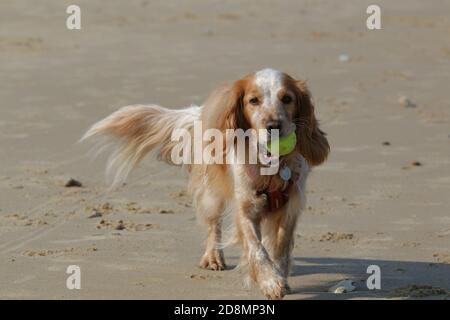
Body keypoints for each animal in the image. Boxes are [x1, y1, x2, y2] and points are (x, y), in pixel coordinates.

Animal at [82, 68, 328, 300]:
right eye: (253, 100)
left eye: (287, 98)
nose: (274, 125)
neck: (270, 168)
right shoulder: (246, 208)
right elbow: (256, 249)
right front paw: (269, 281)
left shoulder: (290, 208)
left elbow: (280, 248)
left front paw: (279, 276)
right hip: (212, 194)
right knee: (213, 225)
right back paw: (213, 257)